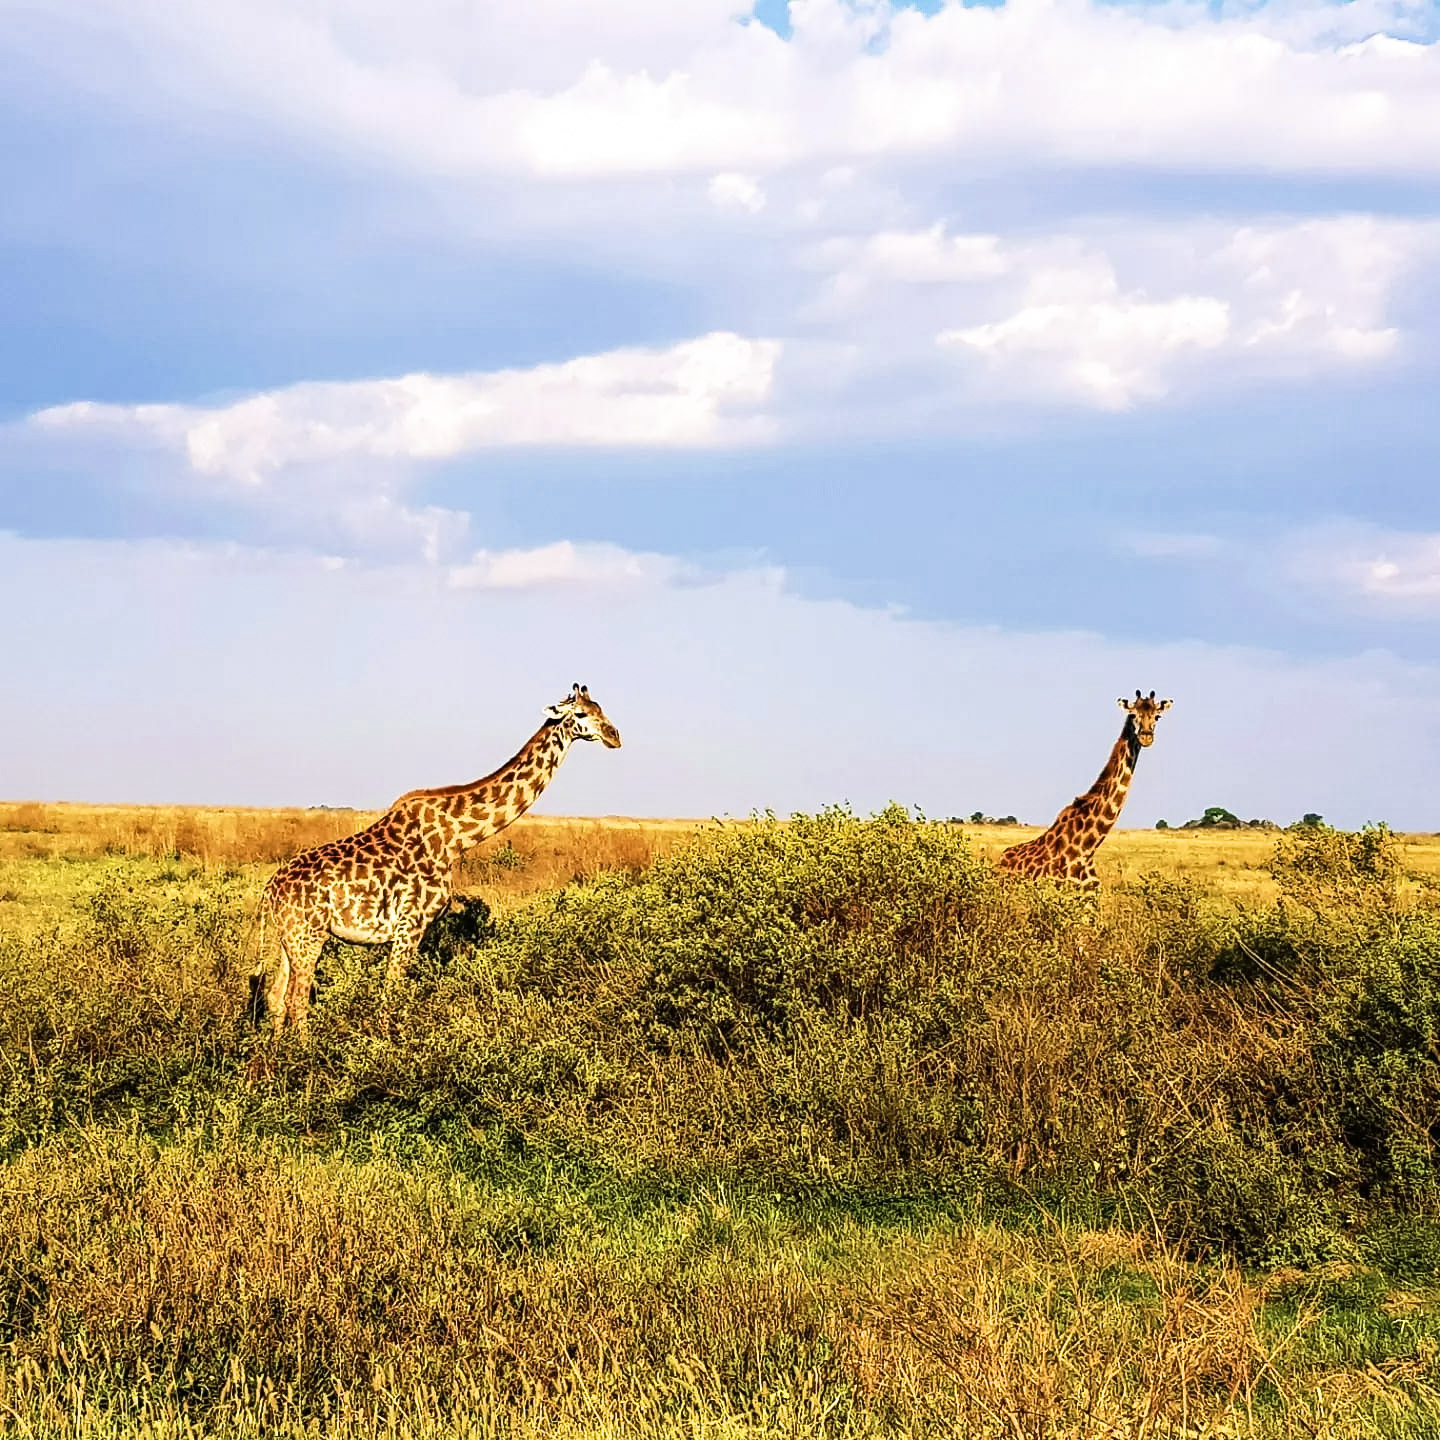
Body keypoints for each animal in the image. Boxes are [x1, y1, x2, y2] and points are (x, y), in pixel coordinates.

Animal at [248, 683, 621, 1034]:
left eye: (601, 708)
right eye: (582, 714)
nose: (614, 736)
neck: (454, 840)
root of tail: (269, 890)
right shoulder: (410, 924)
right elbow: (390, 998)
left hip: (287, 938)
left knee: (276, 997)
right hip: (308, 935)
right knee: (296, 1001)